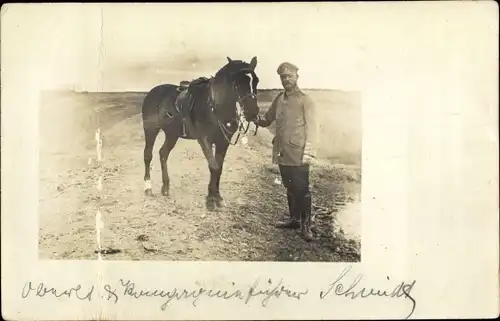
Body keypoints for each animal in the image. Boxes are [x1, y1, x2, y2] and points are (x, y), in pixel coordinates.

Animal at [139, 56, 260, 211]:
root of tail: (152, 92)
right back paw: (148, 187)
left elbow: (219, 168)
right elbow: (213, 166)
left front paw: (217, 198)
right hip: (150, 129)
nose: (253, 113)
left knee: (163, 153)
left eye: (256, 81)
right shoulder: (204, 140)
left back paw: (165, 187)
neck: (214, 106)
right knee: (148, 155)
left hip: (172, 134)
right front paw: (210, 200)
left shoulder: (223, 142)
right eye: (237, 82)